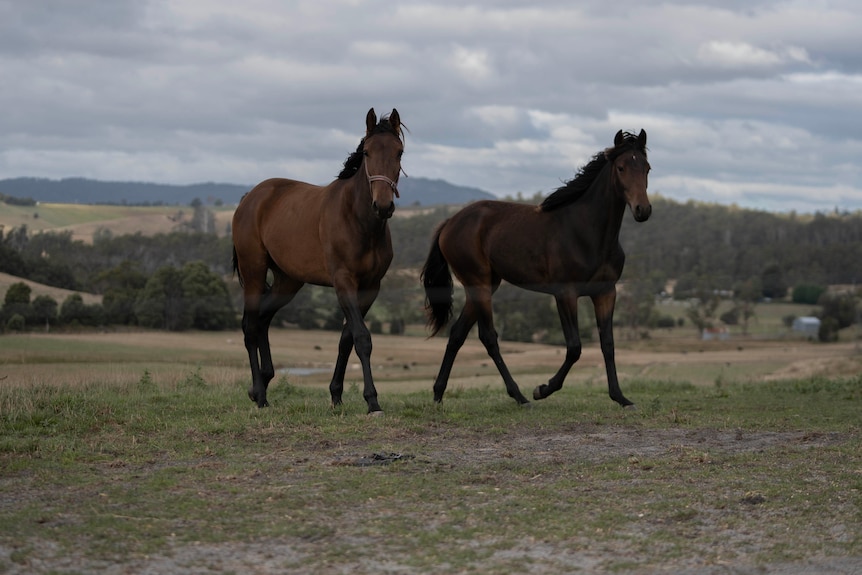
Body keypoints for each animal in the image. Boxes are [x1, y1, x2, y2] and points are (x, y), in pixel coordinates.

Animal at [230, 108, 404, 412]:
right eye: (367, 152)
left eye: (399, 152)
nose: (383, 206)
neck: (358, 220)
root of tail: (250, 198)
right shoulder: (344, 282)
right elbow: (362, 338)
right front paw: (372, 401)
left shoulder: (370, 287)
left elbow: (347, 339)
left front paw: (336, 395)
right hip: (253, 271)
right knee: (250, 327)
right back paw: (260, 396)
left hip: (287, 282)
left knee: (262, 319)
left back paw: (262, 381)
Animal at [422, 130, 652, 410]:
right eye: (621, 168)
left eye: (647, 168)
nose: (643, 210)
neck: (587, 233)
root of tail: (449, 223)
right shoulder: (565, 294)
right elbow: (574, 347)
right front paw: (542, 389)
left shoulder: (606, 293)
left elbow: (607, 344)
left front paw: (621, 398)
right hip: (479, 285)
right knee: (488, 337)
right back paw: (520, 397)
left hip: (483, 287)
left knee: (457, 334)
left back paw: (438, 394)